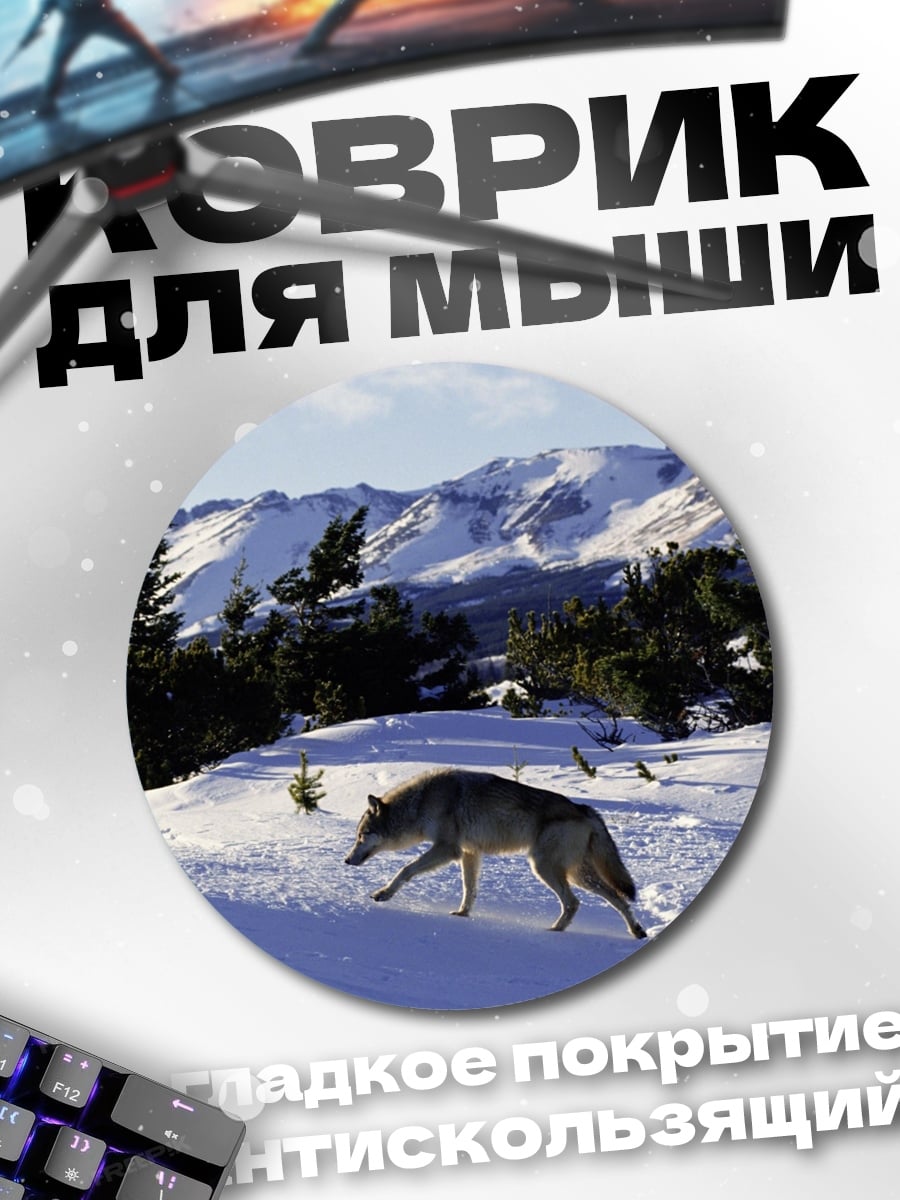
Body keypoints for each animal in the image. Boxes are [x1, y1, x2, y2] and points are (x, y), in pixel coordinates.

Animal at [345, 768, 647, 937]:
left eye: (361, 836)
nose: (346, 860)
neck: (422, 802)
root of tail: (584, 808)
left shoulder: (447, 848)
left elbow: (405, 869)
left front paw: (383, 894)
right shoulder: (469, 853)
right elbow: (469, 889)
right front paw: (462, 914)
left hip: (545, 868)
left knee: (574, 903)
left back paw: (554, 932)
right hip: (577, 875)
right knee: (618, 898)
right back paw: (637, 931)